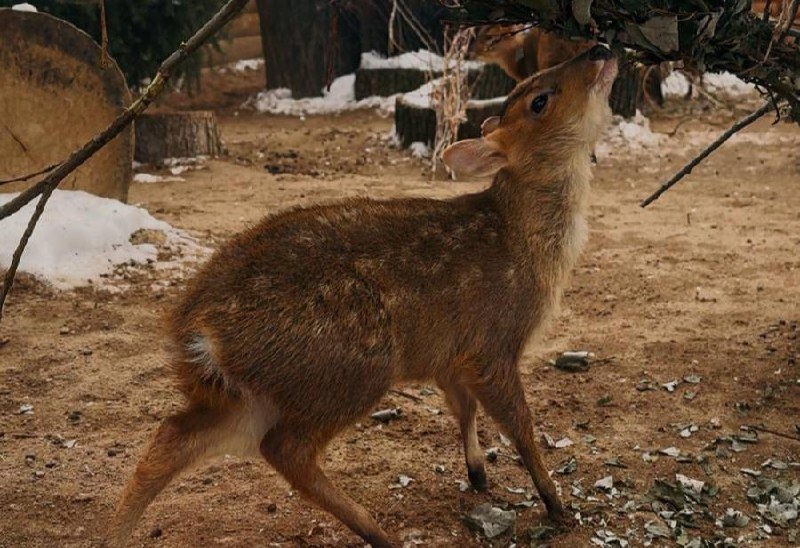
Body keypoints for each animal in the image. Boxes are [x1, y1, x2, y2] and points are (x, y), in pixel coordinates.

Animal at [109, 46, 620, 548]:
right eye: (539, 100)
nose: (600, 48)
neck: (521, 240)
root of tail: (196, 329)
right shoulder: (491, 342)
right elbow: (521, 427)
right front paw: (556, 505)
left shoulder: (450, 357)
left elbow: (464, 409)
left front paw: (478, 474)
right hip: (350, 364)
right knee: (282, 448)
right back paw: (380, 533)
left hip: (257, 389)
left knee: (175, 435)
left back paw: (111, 532)